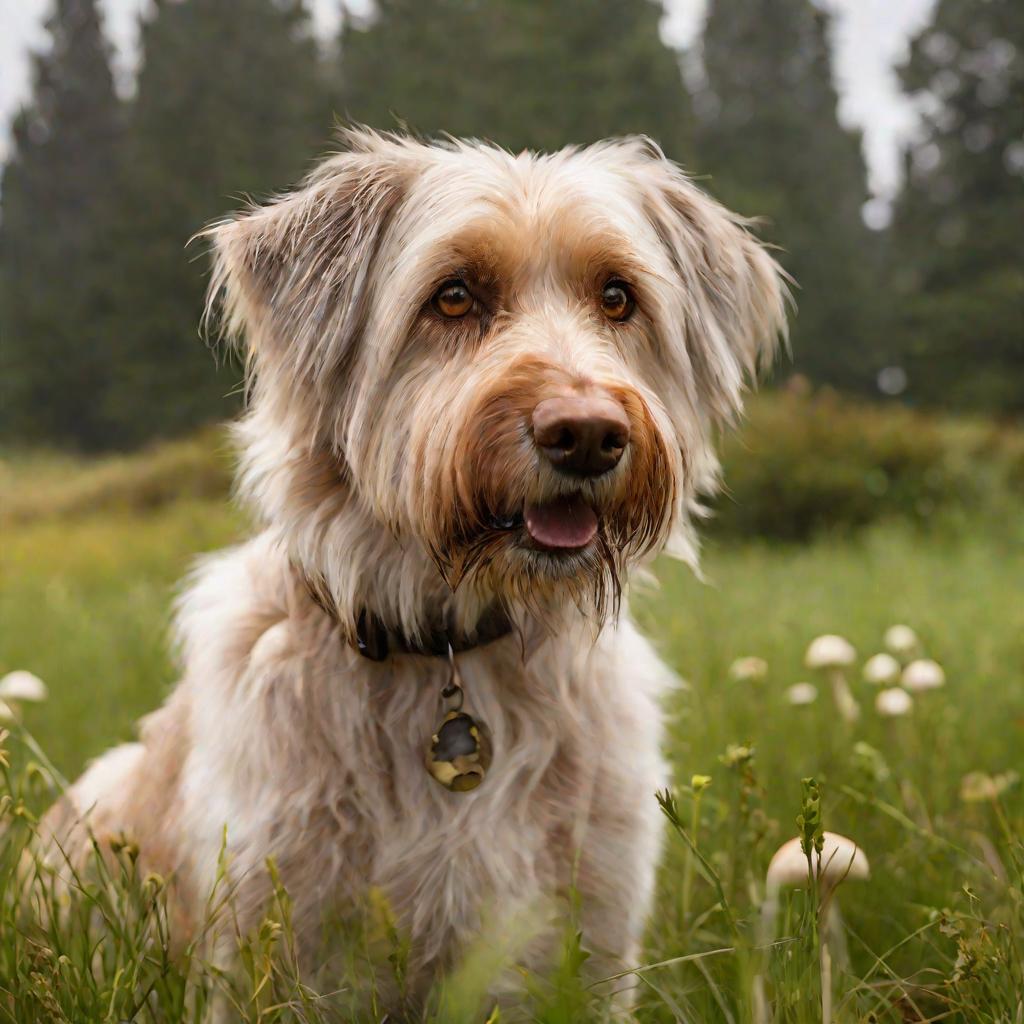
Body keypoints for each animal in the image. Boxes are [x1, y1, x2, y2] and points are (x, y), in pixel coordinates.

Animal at [41, 130, 782, 1015]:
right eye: (453, 296)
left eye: (617, 297)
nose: (587, 435)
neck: (452, 652)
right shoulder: (274, 942)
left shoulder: (593, 931)